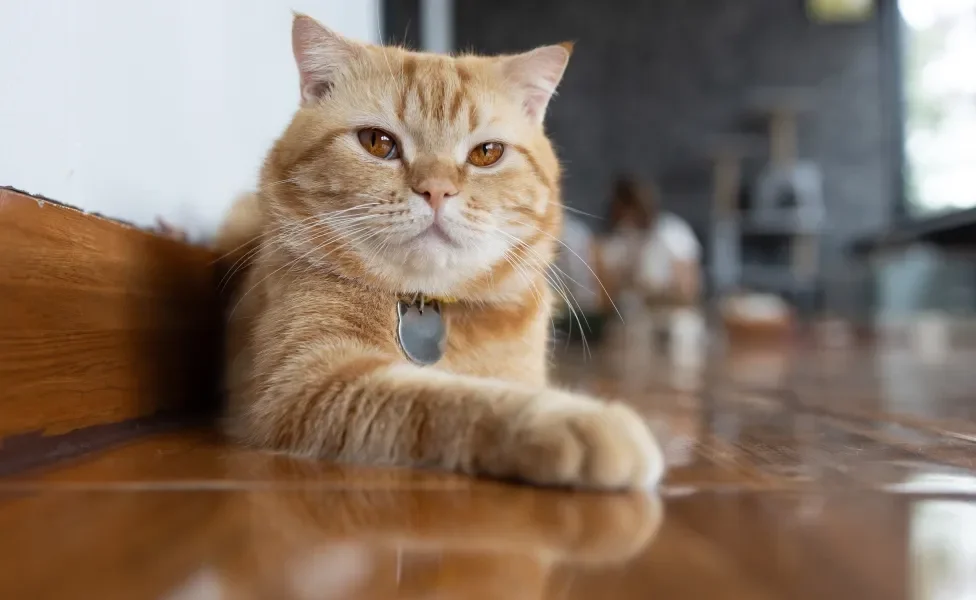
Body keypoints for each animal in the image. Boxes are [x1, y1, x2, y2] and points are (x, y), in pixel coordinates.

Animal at [217, 14, 664, 490]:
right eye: (377, 142)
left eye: (487, 153)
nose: (436, 190)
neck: (425, 302)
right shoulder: (304, 383)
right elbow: (450, 398)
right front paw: (579, 422)